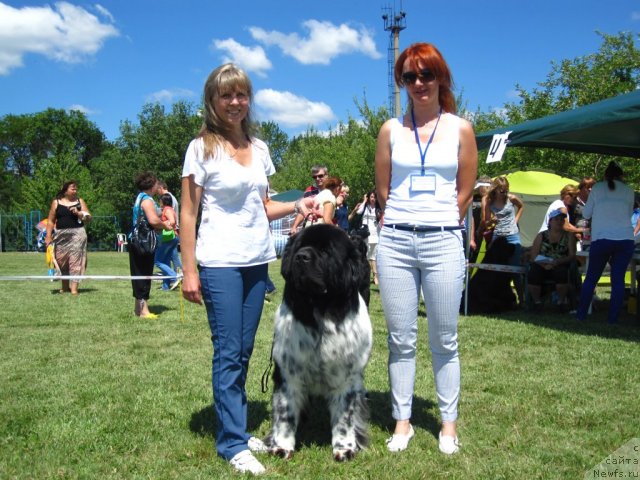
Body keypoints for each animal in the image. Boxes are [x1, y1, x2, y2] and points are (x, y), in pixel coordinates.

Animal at [264, 225, 372, 462]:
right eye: (299, 246)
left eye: (326, 251)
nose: (301, 257)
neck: (321, 309)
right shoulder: (288, 372)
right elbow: (285, 413)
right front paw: (282, 446)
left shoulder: (347, 377)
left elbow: (345, 416)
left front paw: (344, 448)